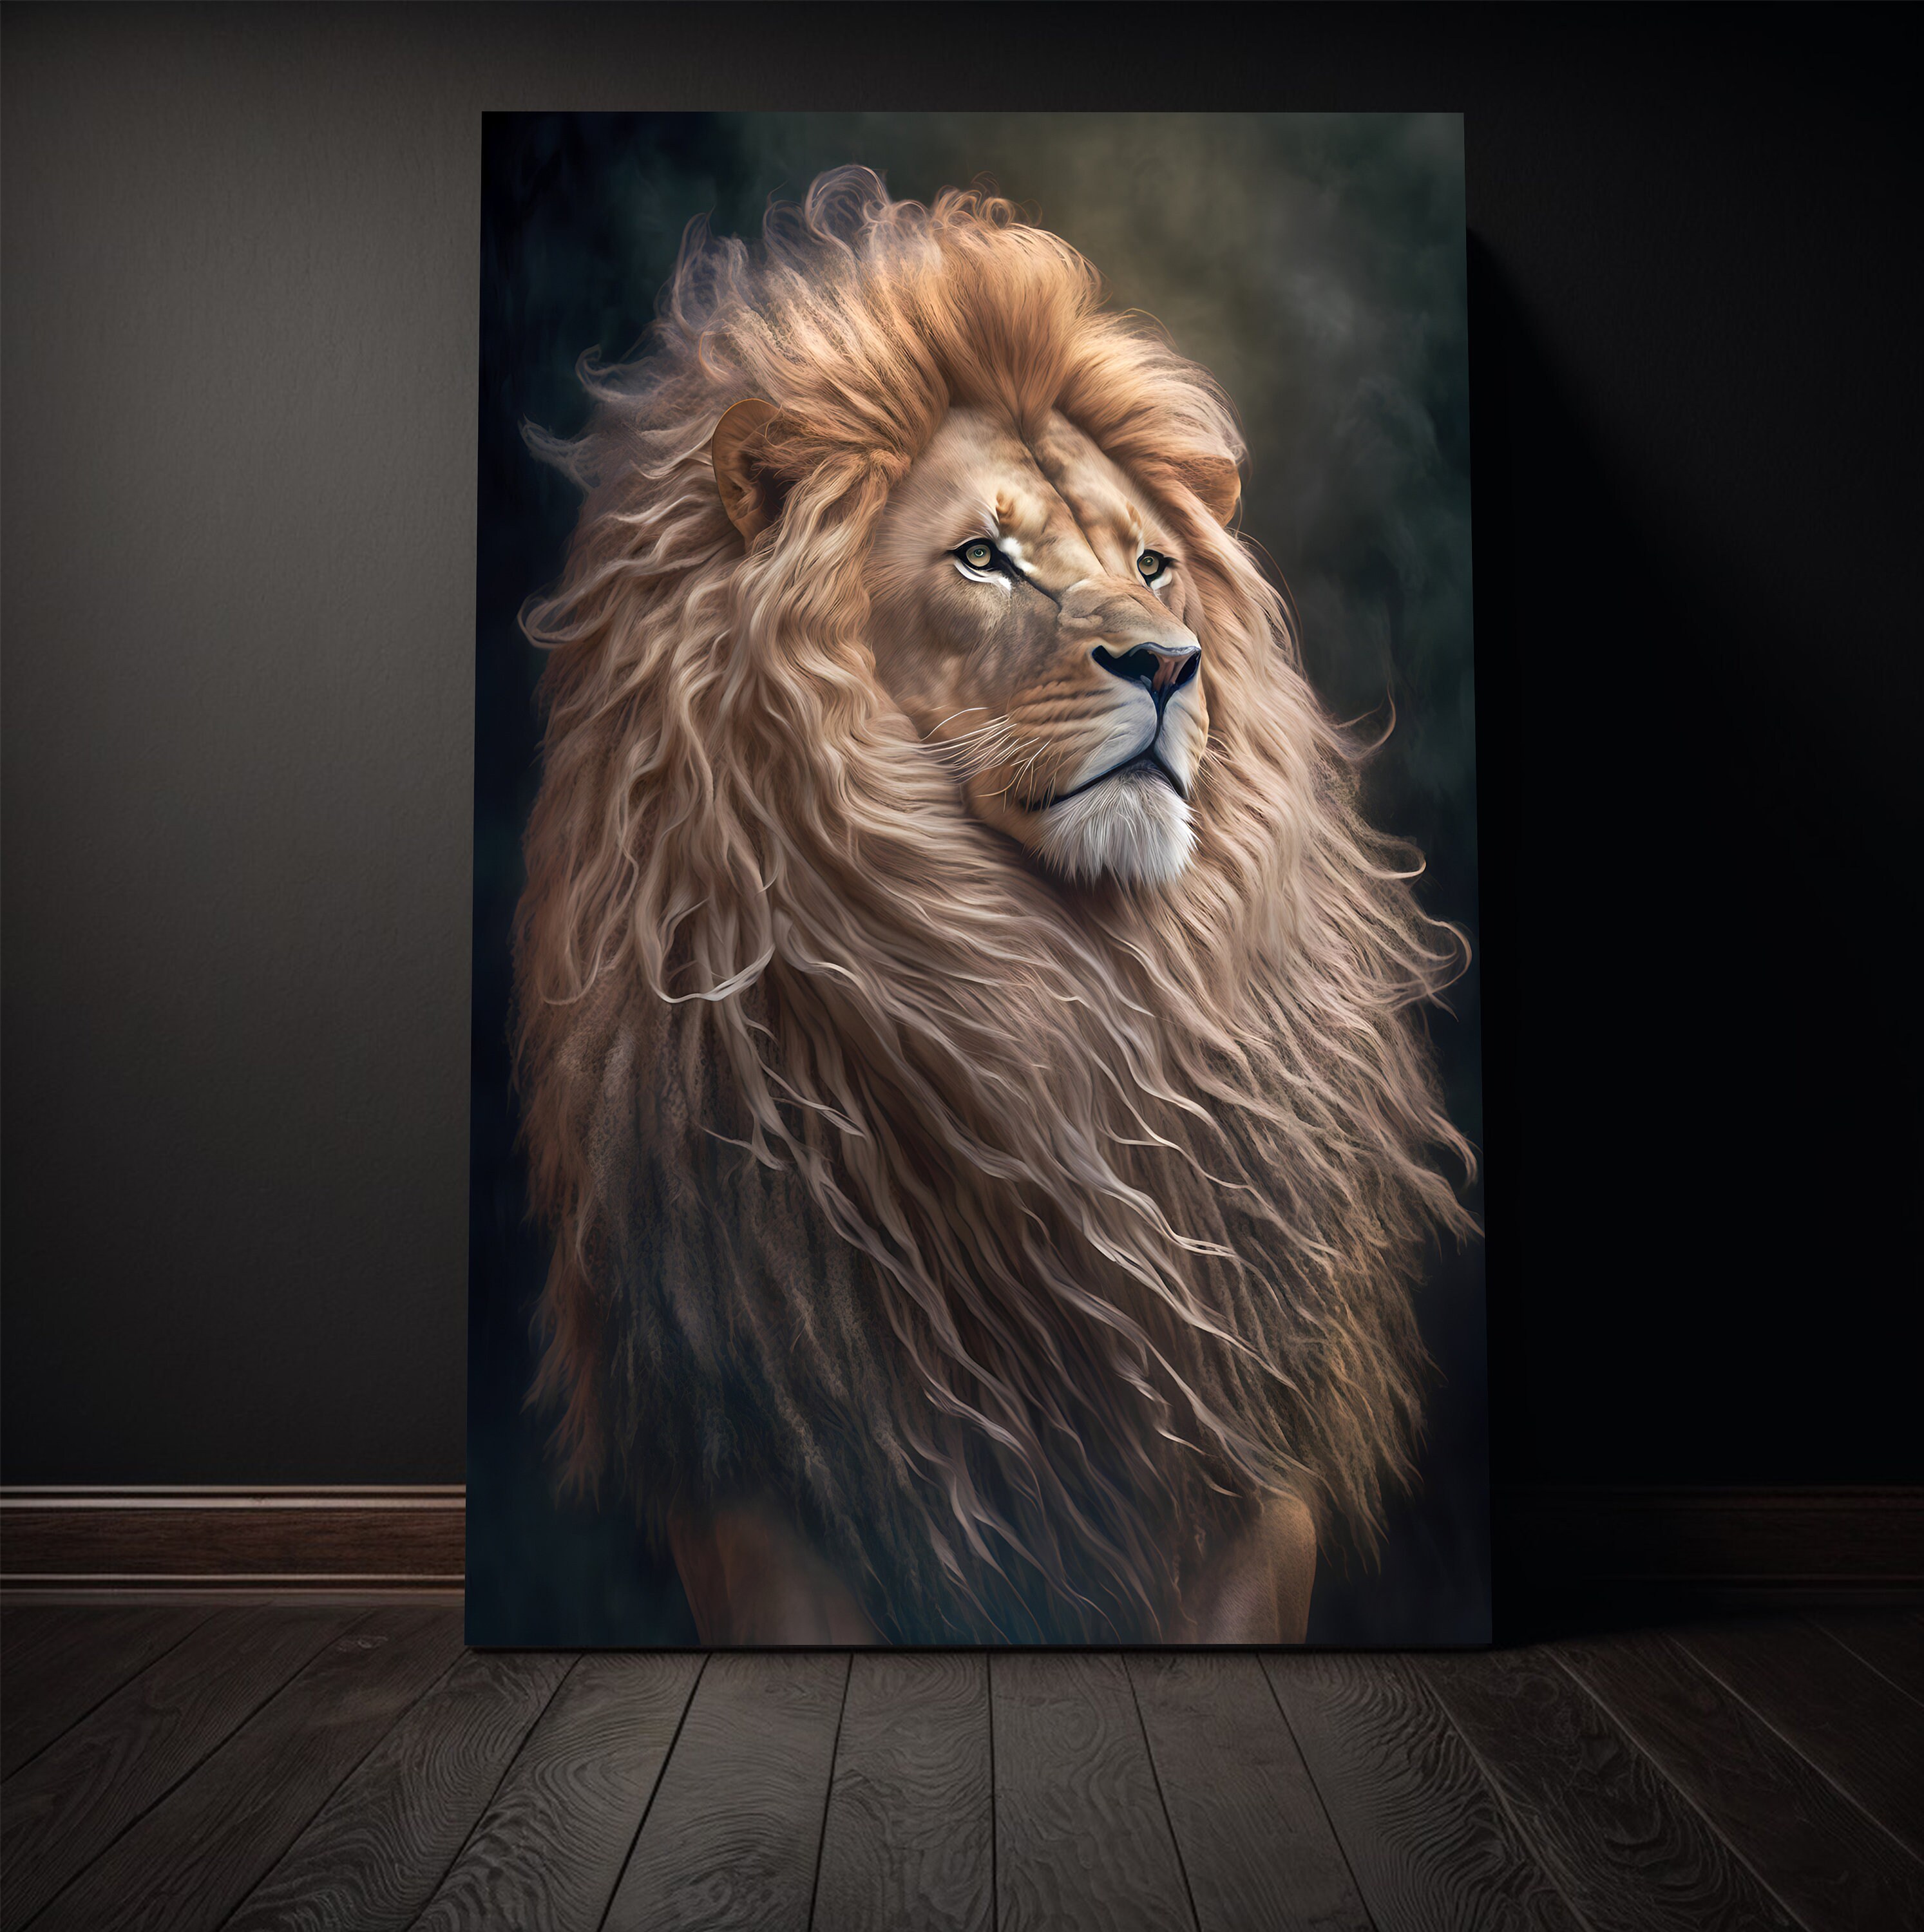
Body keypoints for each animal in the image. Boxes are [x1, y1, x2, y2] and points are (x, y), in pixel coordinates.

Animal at [514, 167, 1476, 1644]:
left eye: (1153, 566)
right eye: (982, 558)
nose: (1170, 664)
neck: (1052, 987)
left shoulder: (1247, 1467)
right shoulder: (769, 1483)